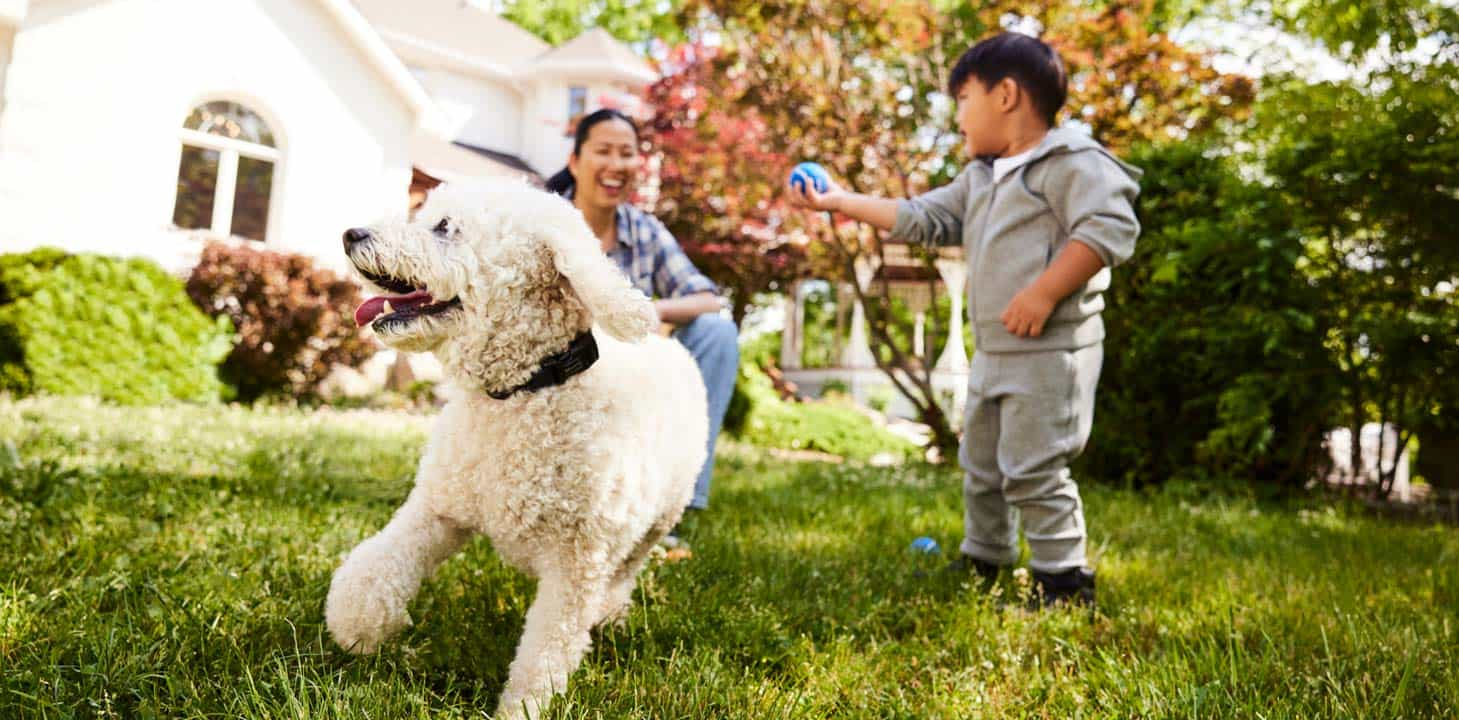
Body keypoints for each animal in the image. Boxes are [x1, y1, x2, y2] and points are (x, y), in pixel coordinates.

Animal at [323, 176, 706, 715]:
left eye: (444, 227)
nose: (351, 233)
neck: (522, 394)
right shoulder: (440, 507)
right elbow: (380, 562)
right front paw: (356, 624)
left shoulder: (575, 565)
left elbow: (545, 653)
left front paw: (522, 708)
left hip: (657, 520)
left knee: (626, 568)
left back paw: (611, 613)